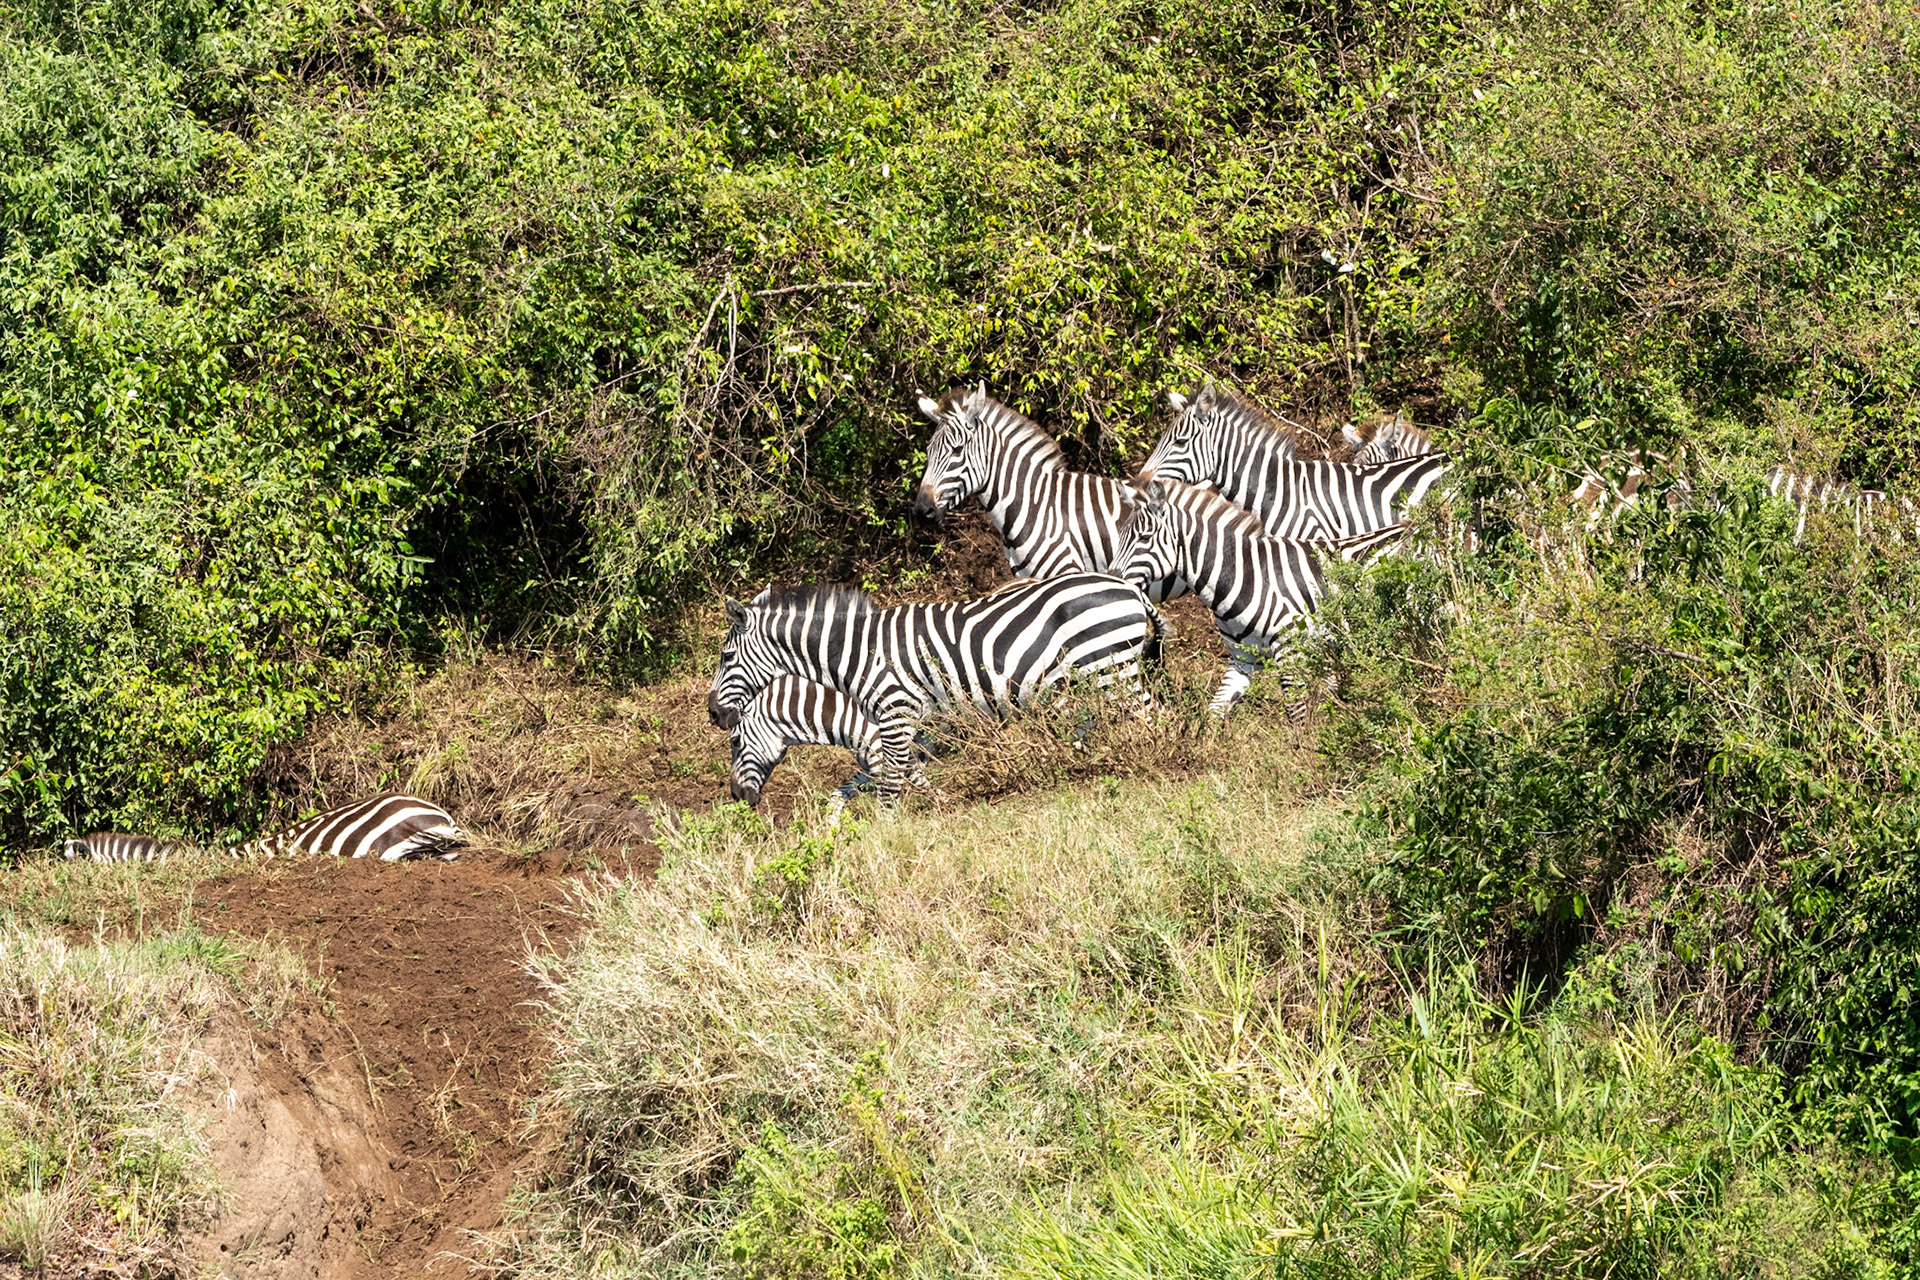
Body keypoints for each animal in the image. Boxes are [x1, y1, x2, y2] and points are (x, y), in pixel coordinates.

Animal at [708, 574, 1163, 785]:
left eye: (726, 657)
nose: (713, 713)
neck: (856, 651)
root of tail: (1127, 587)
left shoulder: (896, 711)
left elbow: (894, 776)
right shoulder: (918, 725)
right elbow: (913, 772)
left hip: (1109, 668)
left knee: (1147, 719)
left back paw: (1150, 764)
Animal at [730, 675, 895, 815]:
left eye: (736, 740)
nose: (735, 795)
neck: (852, 717)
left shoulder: (886, 768)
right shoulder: (870, 771)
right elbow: (837, 797)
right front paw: (831, 830)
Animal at [1119, 477, 1408, 716]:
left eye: (1144, 538)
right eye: (1119, 537)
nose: (1115, 580)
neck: (1248, 576)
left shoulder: (1289, 653)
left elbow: (1296, 714)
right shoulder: (1243, 659)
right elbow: (1215, 712)